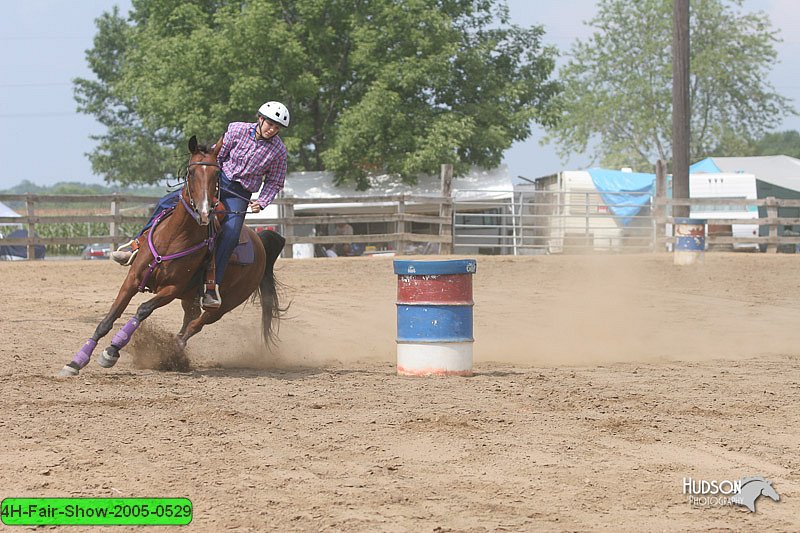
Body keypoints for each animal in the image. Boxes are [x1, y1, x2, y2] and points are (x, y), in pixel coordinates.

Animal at [63, 136, 288, 378]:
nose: (205, 211)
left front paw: (111, 351)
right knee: (189, 320)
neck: (173, 237)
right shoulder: (132, 280)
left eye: (216, 174)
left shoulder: (171, 289)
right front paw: (76, 361)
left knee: (195, 325)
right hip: (189, 297)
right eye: (191, 171)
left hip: (224, 304)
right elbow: (108, 319)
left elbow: (143, 310)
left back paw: (172, 351)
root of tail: (261, 244)